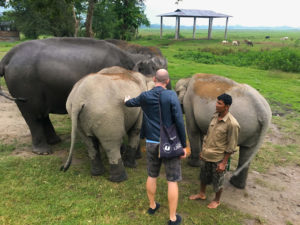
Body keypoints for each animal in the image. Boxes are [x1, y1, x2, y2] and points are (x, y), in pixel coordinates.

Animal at [0, 37, 166, 156]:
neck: (132, 56)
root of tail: (7, 57)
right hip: (24, 86)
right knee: (33, 116)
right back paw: (43, 151)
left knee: (42, 114)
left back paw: (55, 141)